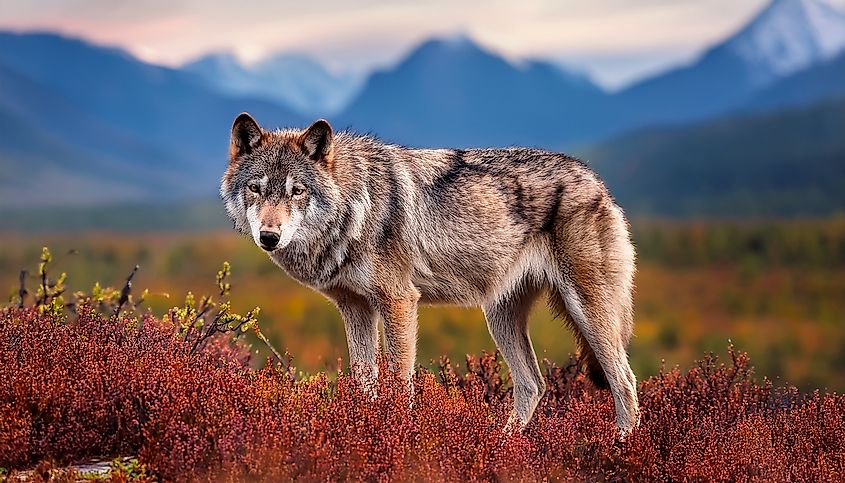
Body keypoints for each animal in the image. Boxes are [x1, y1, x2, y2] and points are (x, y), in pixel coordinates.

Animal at [221, 113, 639, 434]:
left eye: (297, 191)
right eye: (256, 188)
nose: (269, 237)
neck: (355, 208)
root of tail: (596, 181)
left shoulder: (399, 302)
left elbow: (400, 384)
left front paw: (398, 435)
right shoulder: (355, 308)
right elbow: (365, 383)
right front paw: (363, 430)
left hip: (587, 313)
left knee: (624, 381)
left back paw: (620, 447)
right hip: (500, 318)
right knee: (533, 385)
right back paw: (504, 446)